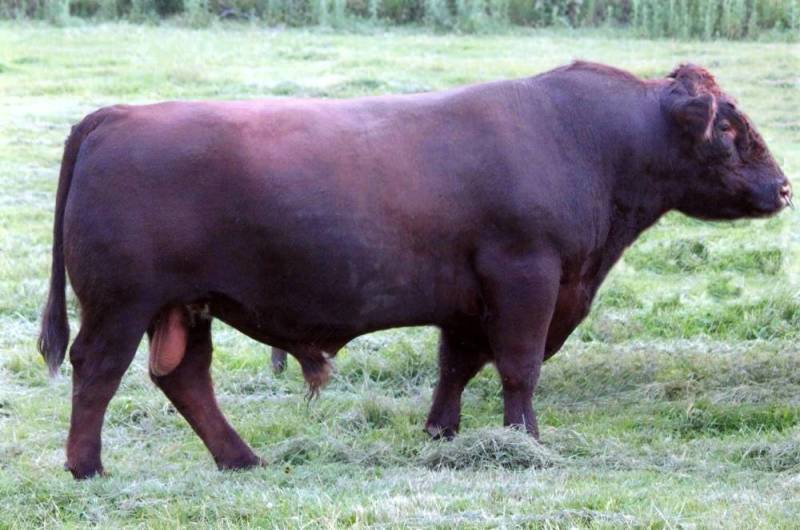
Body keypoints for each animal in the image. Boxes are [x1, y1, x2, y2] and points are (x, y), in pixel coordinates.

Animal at [38, 62, 790, 479]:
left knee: (185, 379)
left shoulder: (469, 299)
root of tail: (118, 115)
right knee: (97, 371)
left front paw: (443, 433)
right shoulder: (527, 278)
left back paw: (240, 457)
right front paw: (525, 442)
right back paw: (88, 466)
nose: (783, 188)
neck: (587, 140)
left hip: (184, 306)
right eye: (728, 129)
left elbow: (456, 365)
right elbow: (518, 367)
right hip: (121, 304)